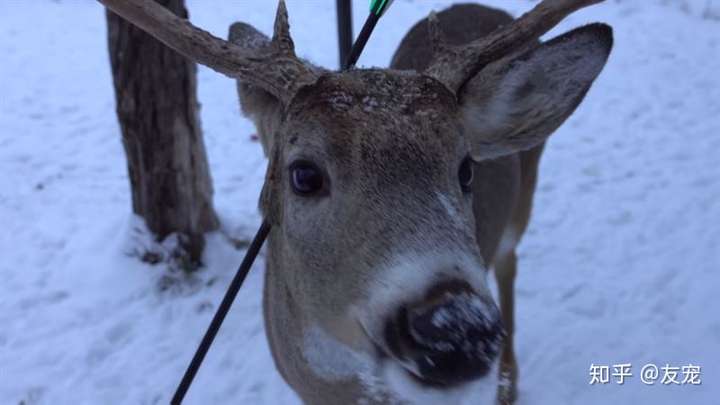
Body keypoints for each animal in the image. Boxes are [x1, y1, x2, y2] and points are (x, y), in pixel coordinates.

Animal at [98, 0, 612, 404]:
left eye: (466, 168)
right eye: (304, 174)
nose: (456, 328)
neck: (349, 392)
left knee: (509, 261)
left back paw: (508, 382)